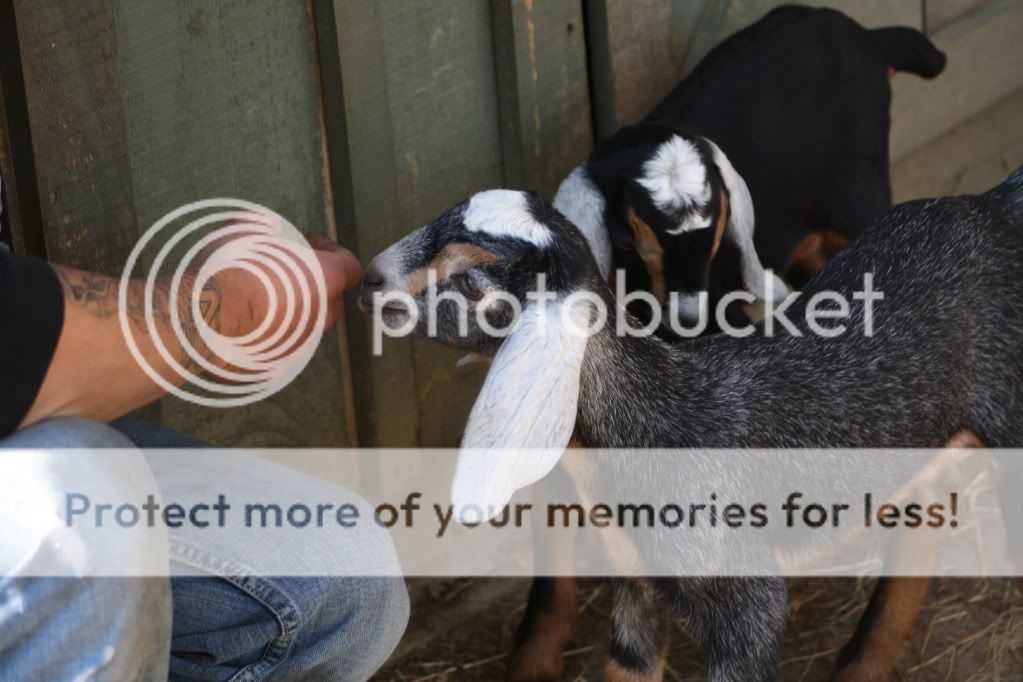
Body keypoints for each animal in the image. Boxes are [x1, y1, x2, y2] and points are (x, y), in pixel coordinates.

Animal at [361, 167, 1023, 681]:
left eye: (473, 280)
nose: (369, 278)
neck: (658, 416)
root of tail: (996, 206)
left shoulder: (744, 603)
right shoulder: (633, 585)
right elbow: (625, 663)